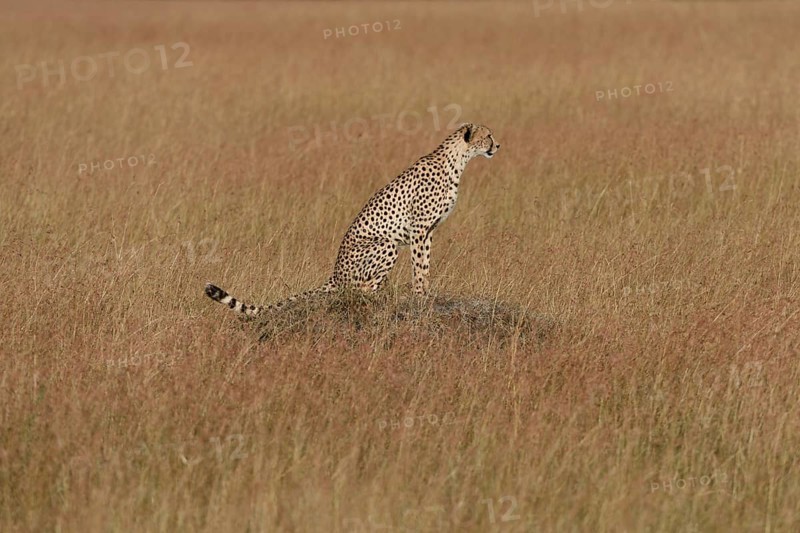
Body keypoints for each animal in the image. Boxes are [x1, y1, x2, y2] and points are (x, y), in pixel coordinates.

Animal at [205, 122, 500, 318]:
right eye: (487, 135)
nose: (498, 145)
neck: (457, 161)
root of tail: (334, 274)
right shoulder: (419, 230)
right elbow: (419, 267)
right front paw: (419, 296)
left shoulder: (428, 232)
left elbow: (425, 264)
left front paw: (426, 293)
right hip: (386, 244)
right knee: (359, 290)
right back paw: (378, 297)